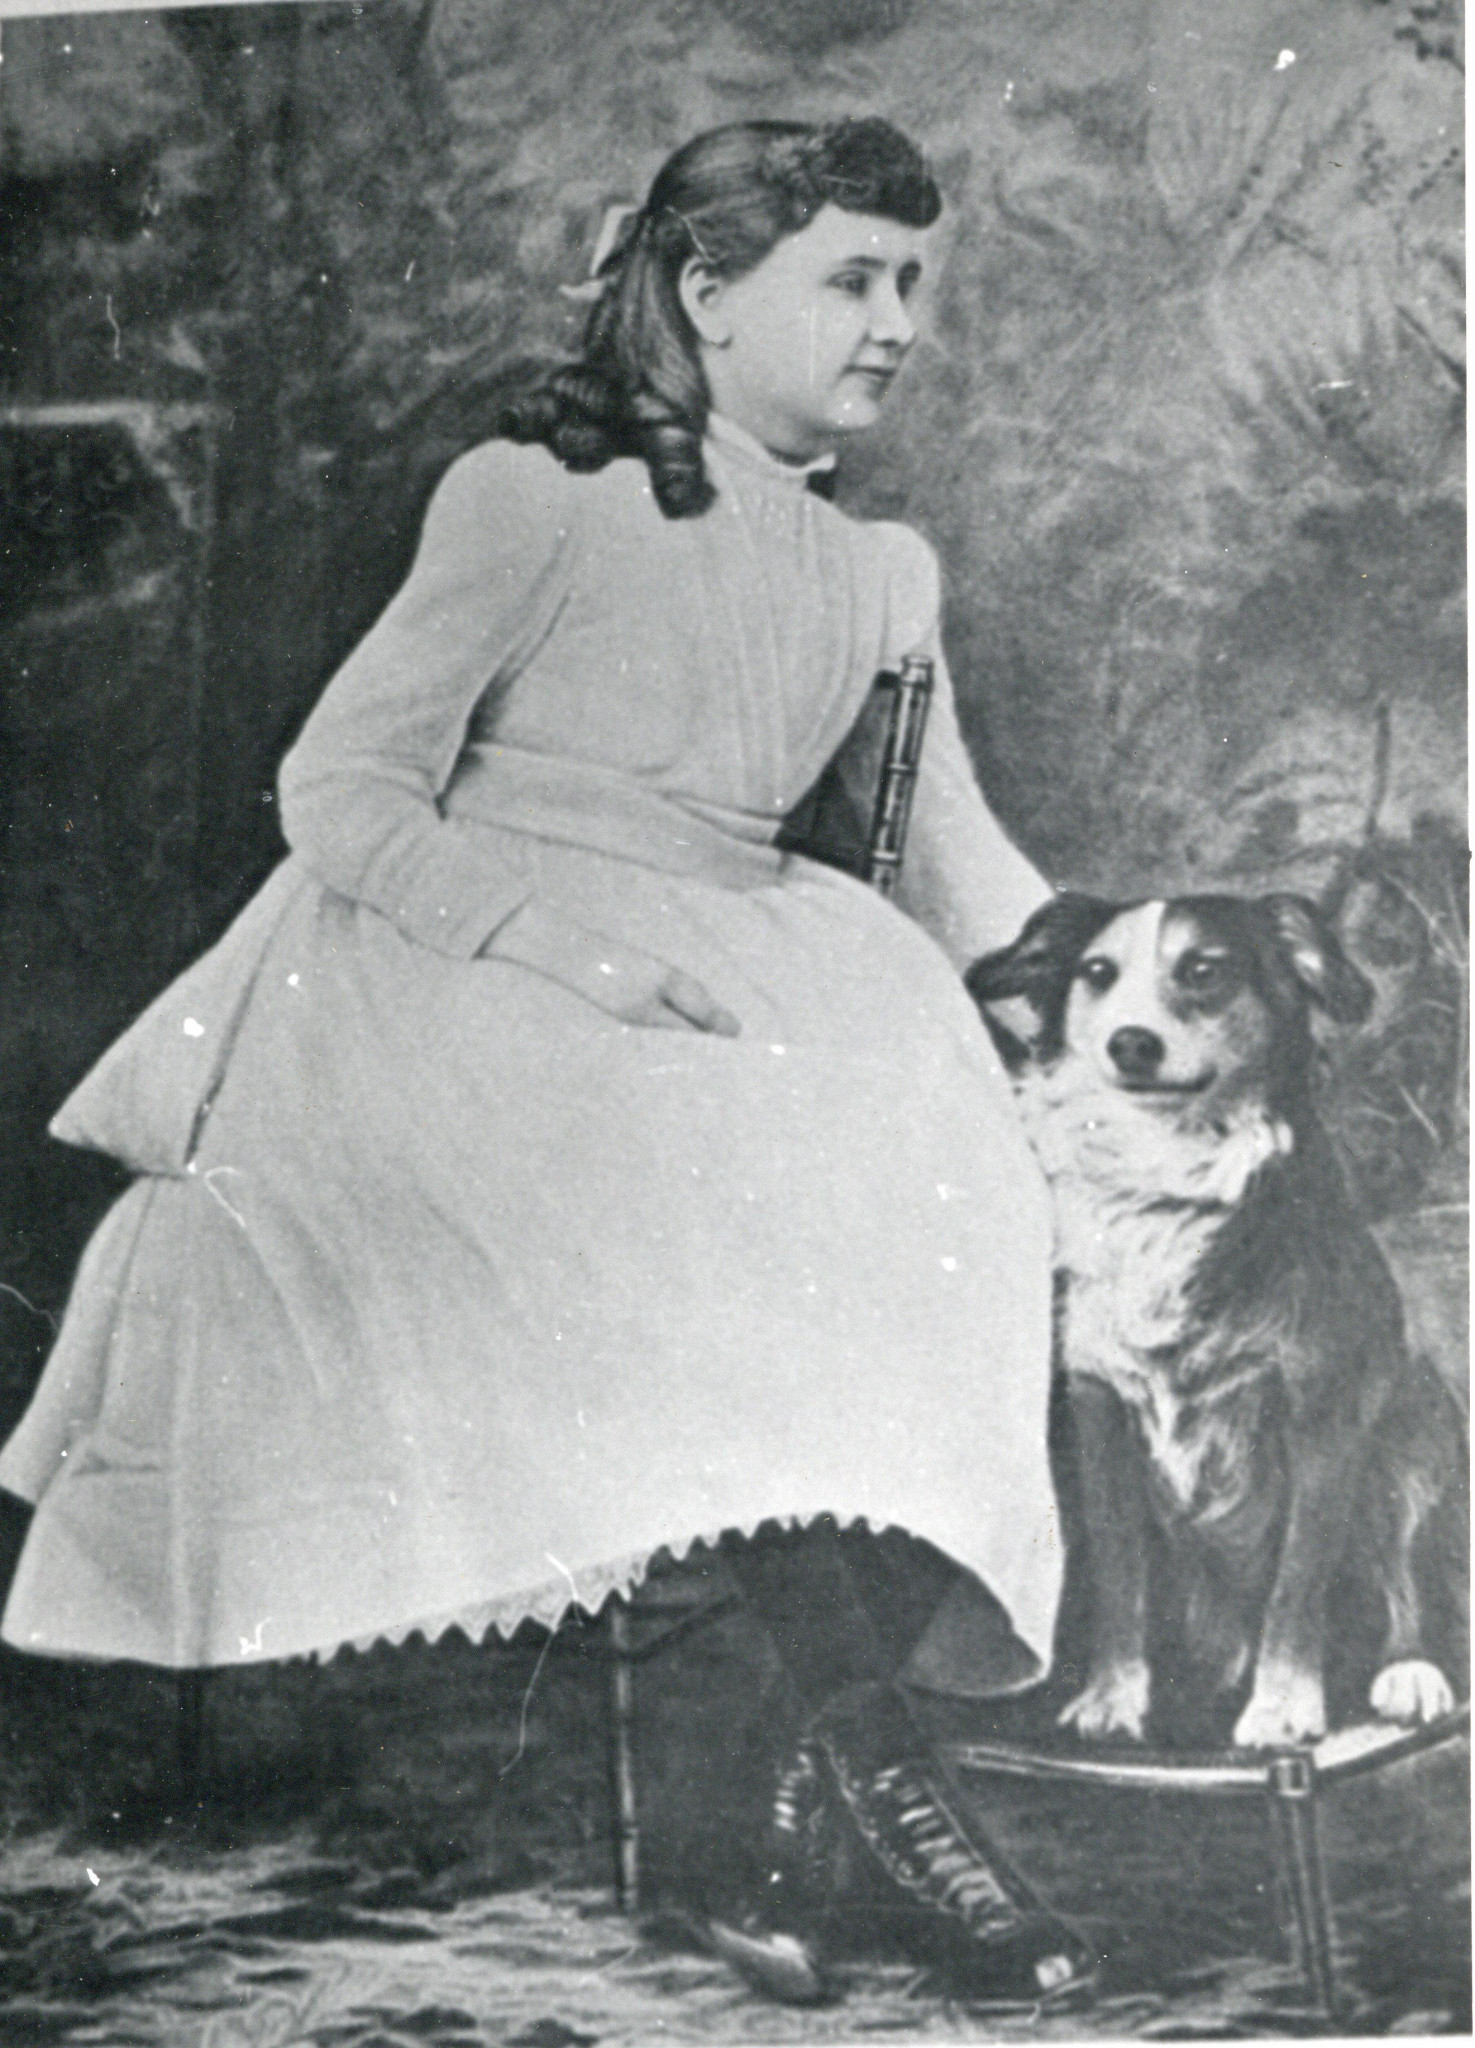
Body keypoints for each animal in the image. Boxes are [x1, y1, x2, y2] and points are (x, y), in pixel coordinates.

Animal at [966, 888, 1466, 1753]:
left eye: (1203, 971)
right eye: (1097, 973)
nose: (1130, 1043)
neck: (1168, 1177)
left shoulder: (1319, 1416)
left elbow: (1297, 1581)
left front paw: (1281, 1707)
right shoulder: (1098, 1411)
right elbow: (1118, 1571)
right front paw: (1112, 1698)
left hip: (1414, 1448)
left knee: (1404, 1577)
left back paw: (1408, 1672)